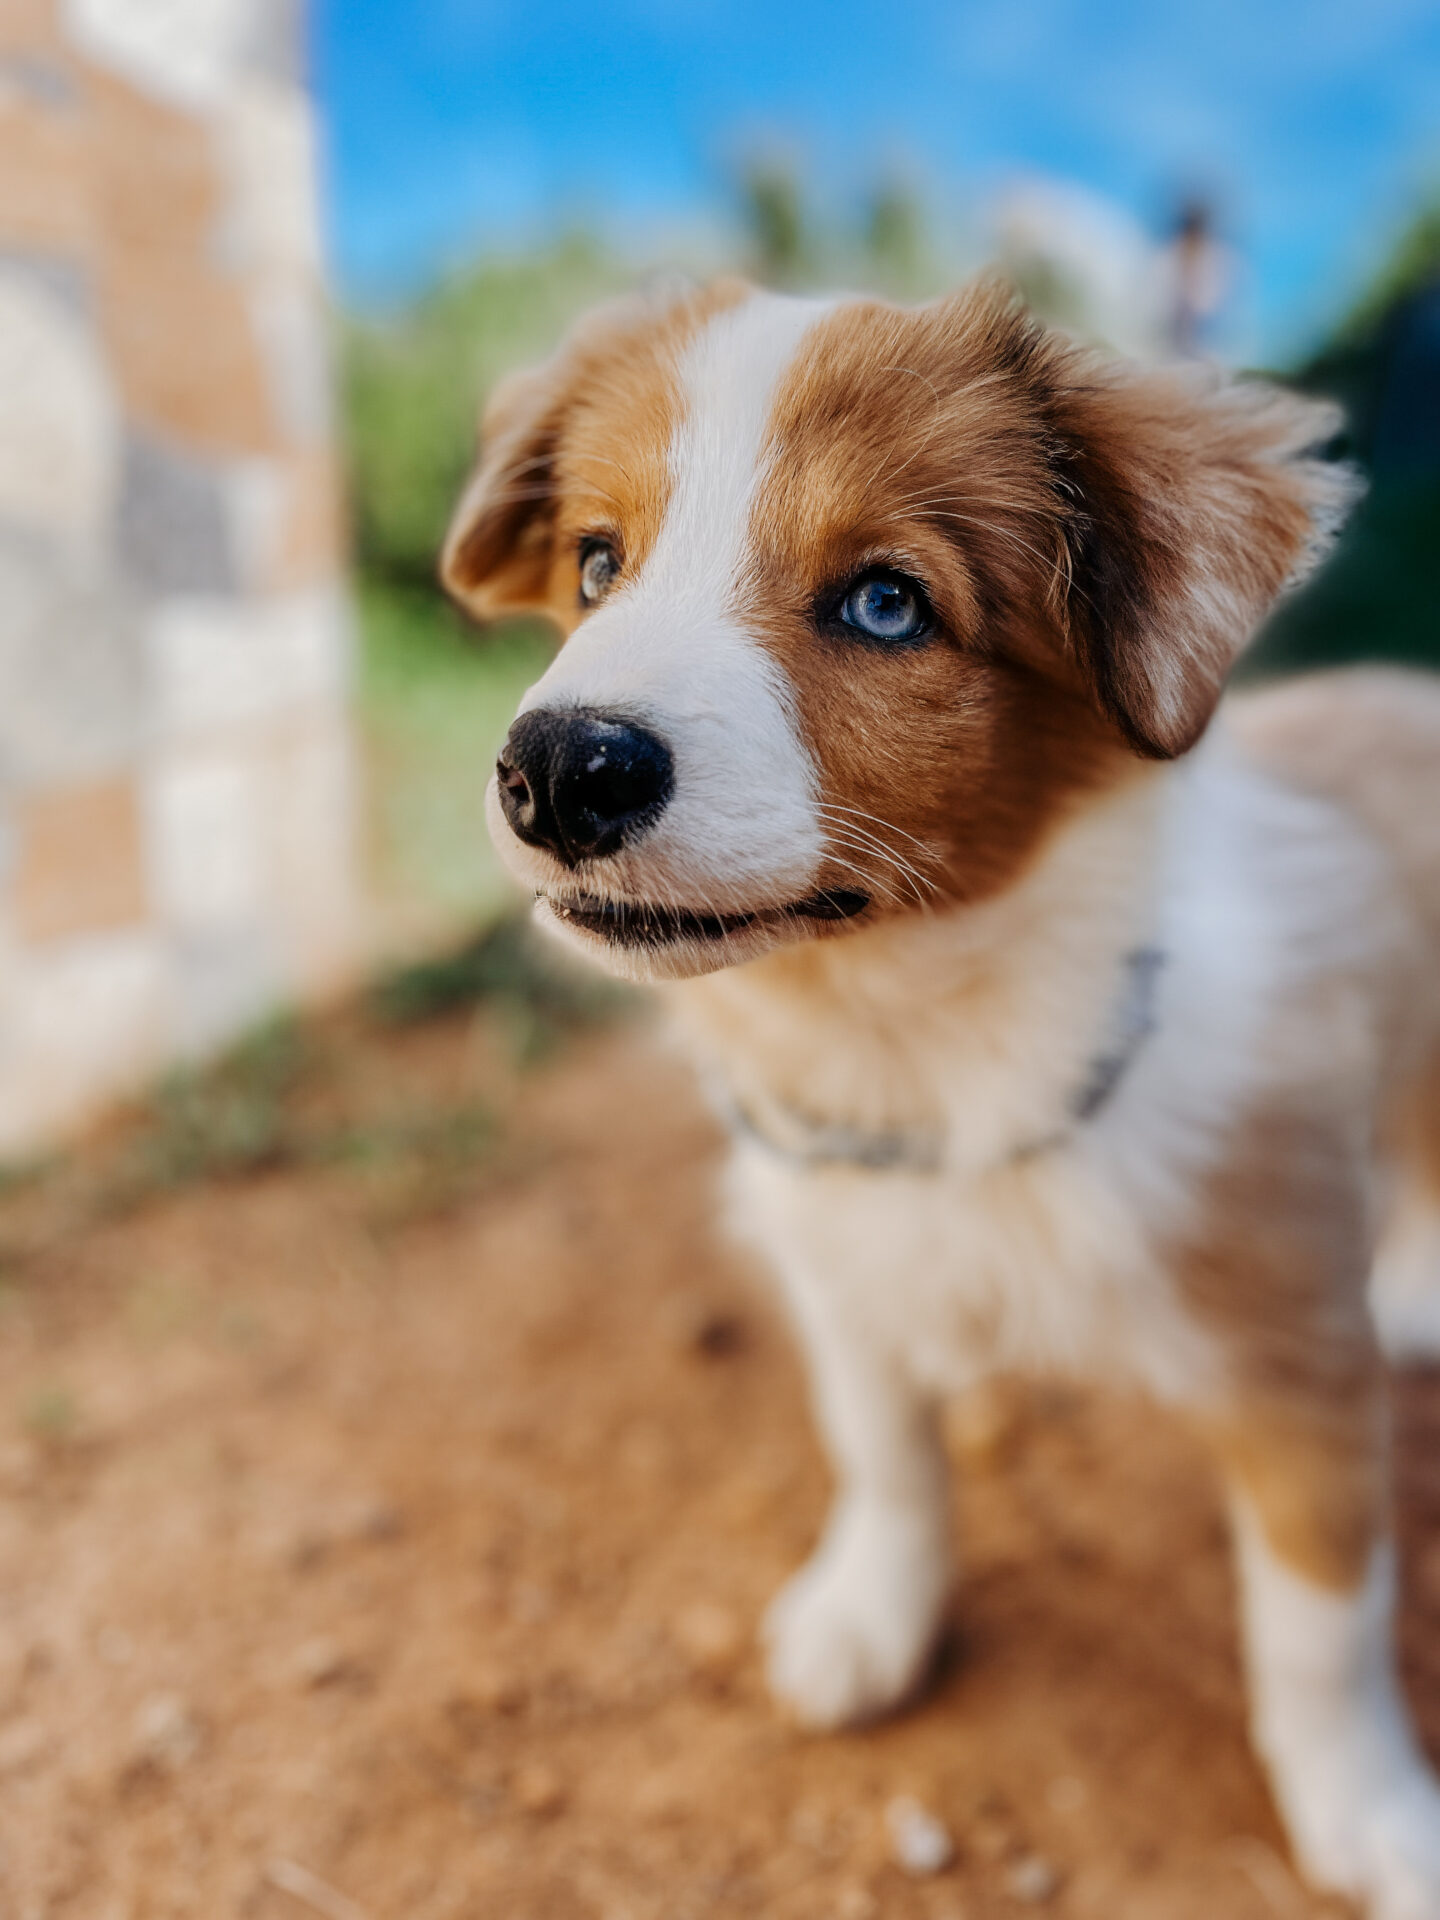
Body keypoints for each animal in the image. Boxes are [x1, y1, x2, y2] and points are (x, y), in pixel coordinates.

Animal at [445, 278, 1440, 1912]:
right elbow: (887, 1459)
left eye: (886, 604)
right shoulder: (841, 1270)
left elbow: (1314, 1626)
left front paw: (1367, 1814)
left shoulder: (1298, 1362)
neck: (929, 1047)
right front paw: (872, 1617)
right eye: (597, 563)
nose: (555, 770)